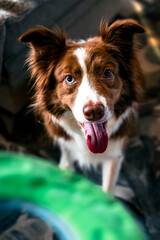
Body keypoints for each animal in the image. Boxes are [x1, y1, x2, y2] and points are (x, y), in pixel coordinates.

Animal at [19, 19, 145, 194]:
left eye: (107, 73)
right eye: (69, 78)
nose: (94, 112)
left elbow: (107, 189)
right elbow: (66, 154)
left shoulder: (115, 154)